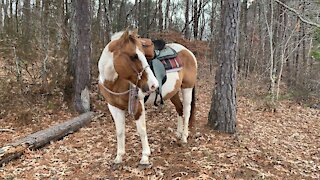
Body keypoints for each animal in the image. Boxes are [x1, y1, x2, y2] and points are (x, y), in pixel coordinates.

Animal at [97, 29, 198, 166]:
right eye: (134, 56)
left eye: (144, 55)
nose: (154, 85)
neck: (114, 81)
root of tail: (188, 52)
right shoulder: (114, 107)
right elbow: (119, 131)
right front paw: (119, 157)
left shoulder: (138, 106)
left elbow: (141, 130)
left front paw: (145, 157)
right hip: (174, 92)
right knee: (179, 109)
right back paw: (179, 132)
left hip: (187, 88)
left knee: (187, 111)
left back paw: (184, 137)